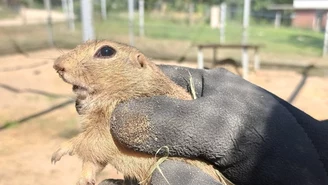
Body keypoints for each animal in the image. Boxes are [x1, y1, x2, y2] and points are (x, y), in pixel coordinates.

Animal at [52, 40, 231, 185]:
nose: (57, 65)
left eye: (106, 51)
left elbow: (93, 142)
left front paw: (61, 149)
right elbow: (94, 160)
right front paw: (84, 179)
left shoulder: (110, 131)